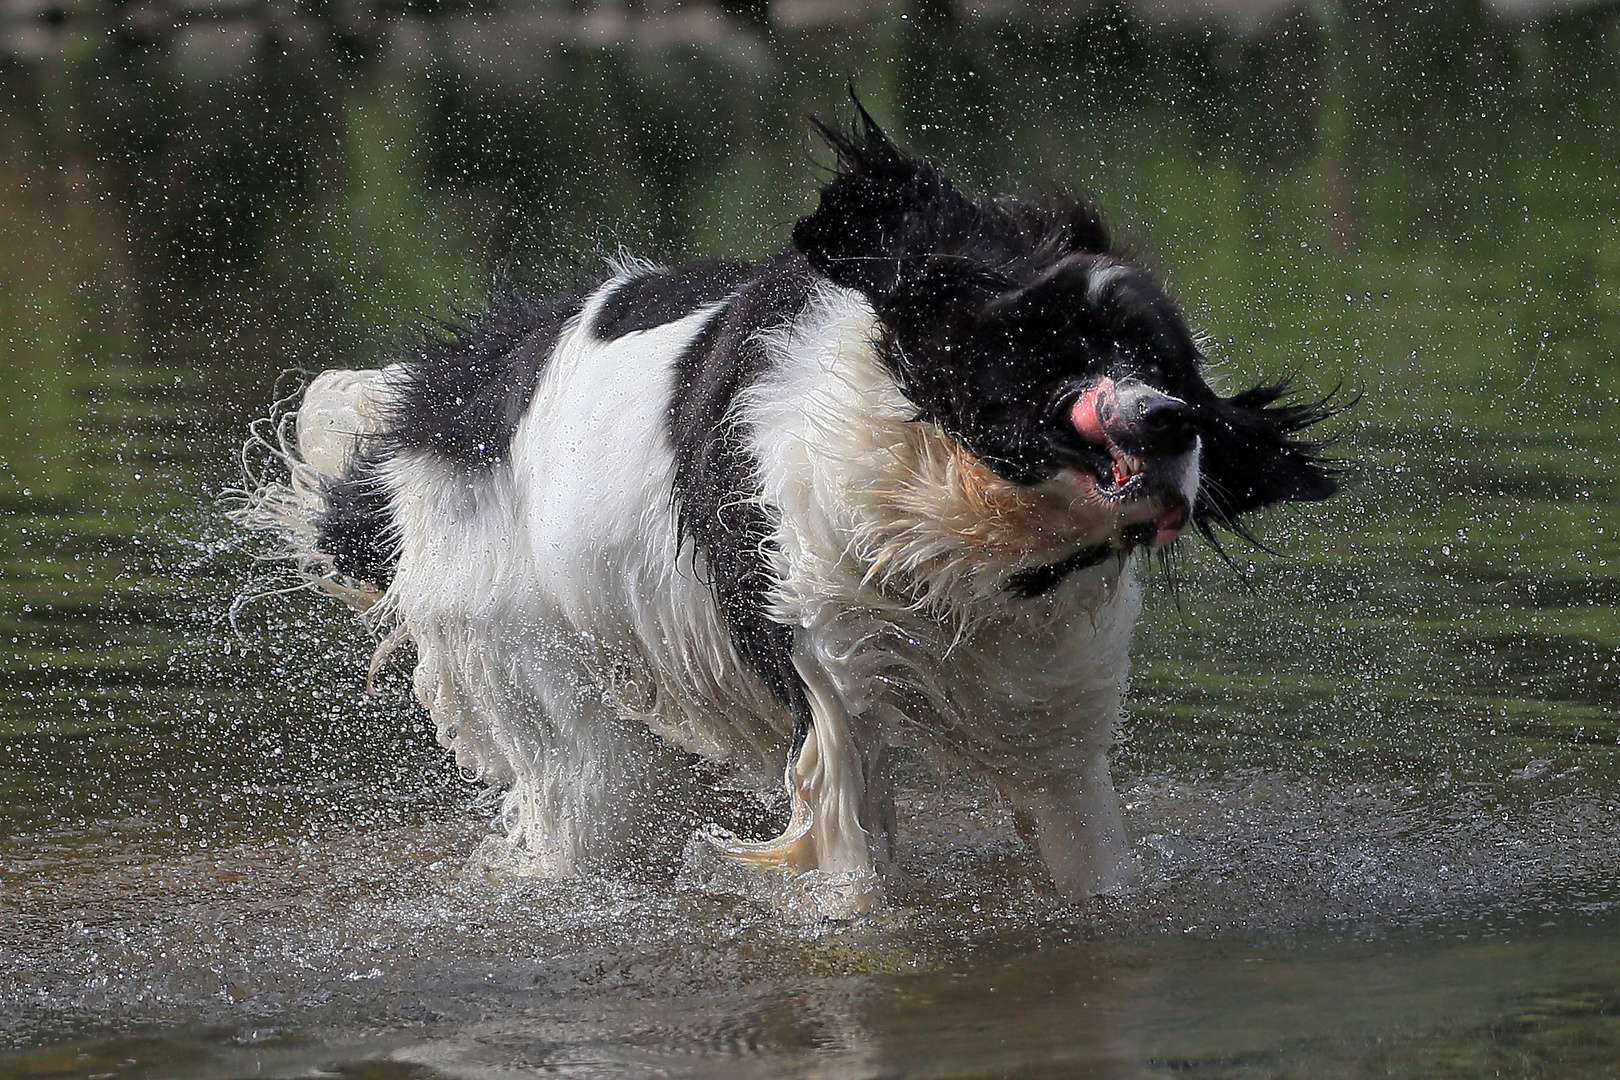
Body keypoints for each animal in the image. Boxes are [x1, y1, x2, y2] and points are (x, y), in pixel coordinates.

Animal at [234, 101, 1334, 919]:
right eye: (1045, 345)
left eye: (1167, 364)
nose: (1169, 422)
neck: (949, 513)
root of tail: (432, 407)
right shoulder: (834, 689)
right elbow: (854, 880)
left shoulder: (1054, 728)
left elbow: (1089, 864)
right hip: (564, 716)